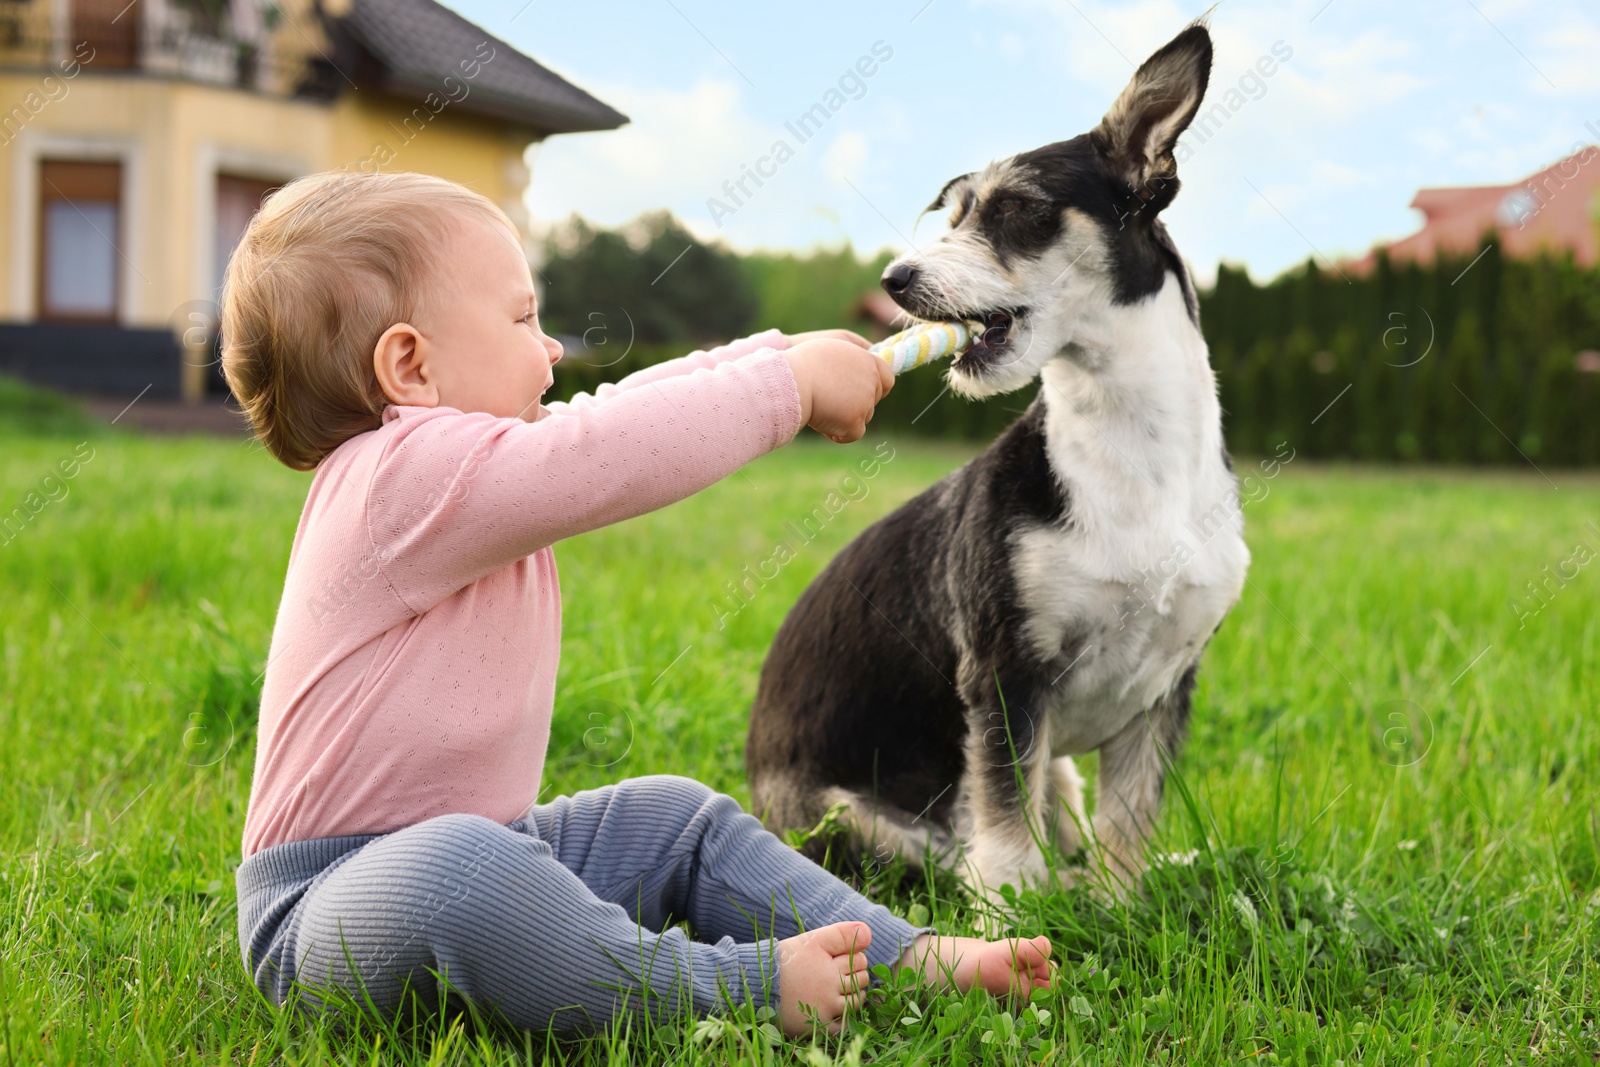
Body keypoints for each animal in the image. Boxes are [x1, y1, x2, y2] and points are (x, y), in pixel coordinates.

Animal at [745, 24, 1248, 908]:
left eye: (1017, 208)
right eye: (953, 212)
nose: (895, 280)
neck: (1133, 462)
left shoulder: (1162, 691)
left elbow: (1127, 822)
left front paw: (1122, 905)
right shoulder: (1005, 675)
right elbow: (1007, 822)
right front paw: (1013, 913)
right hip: (850, 819)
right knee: (950, 848)